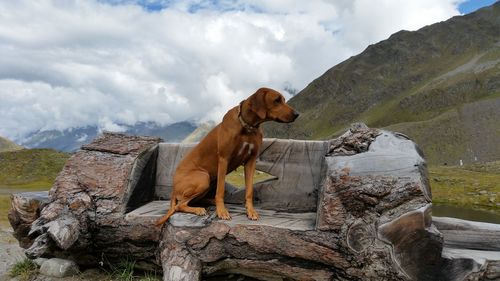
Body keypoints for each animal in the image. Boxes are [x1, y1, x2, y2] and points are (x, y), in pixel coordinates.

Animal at [155, 86, 296, 224]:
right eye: (277, 100)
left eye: (284, 100)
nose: (297, 114)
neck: (247, 127)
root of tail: (173, 188)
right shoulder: (224, 159)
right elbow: (221, 190)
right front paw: (221, 211)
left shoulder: (251, 161)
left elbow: (249, 190)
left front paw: (251, 211)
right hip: (203, 177)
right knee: (179, 206)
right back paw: (199, 209)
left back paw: (210, 202)